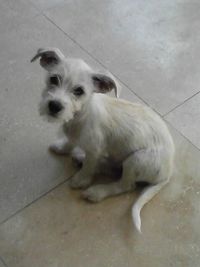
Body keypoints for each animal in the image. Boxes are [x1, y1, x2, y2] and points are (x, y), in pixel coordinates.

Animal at [31, 48, 175, 234]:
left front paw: (81, 180)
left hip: (135, 160)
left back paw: (97, 191)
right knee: (114, 169)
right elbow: (70, 142)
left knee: (125, 185)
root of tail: (168, 173)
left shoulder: (95, 149)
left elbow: (88, 166)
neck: (80, 116)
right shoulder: (75, 136)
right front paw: (62, 147)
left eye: (79, 91)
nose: (54, 106)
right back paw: (86, 161)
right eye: (54, 79)